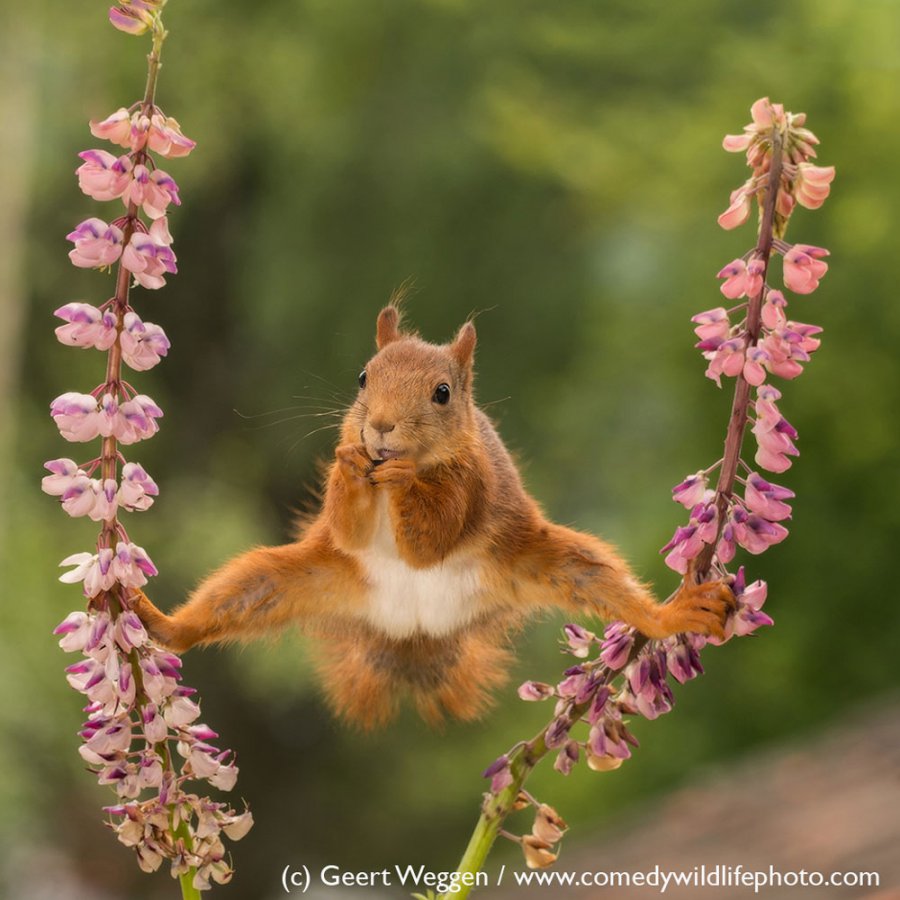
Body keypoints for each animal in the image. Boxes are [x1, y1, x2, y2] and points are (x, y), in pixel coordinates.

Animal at [135, 306, 740, 728]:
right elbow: (349, 528)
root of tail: (414, 631)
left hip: (545, 561)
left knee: (606, 585)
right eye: (362, 377)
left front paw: (404, 480)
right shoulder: (346, 524)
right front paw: (351, 464)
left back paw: (674, 613)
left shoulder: (471, 486)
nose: (379, 427)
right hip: (293, 577)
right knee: (227, 601)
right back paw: (156, 620)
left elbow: (431, 541)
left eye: (443, 393)